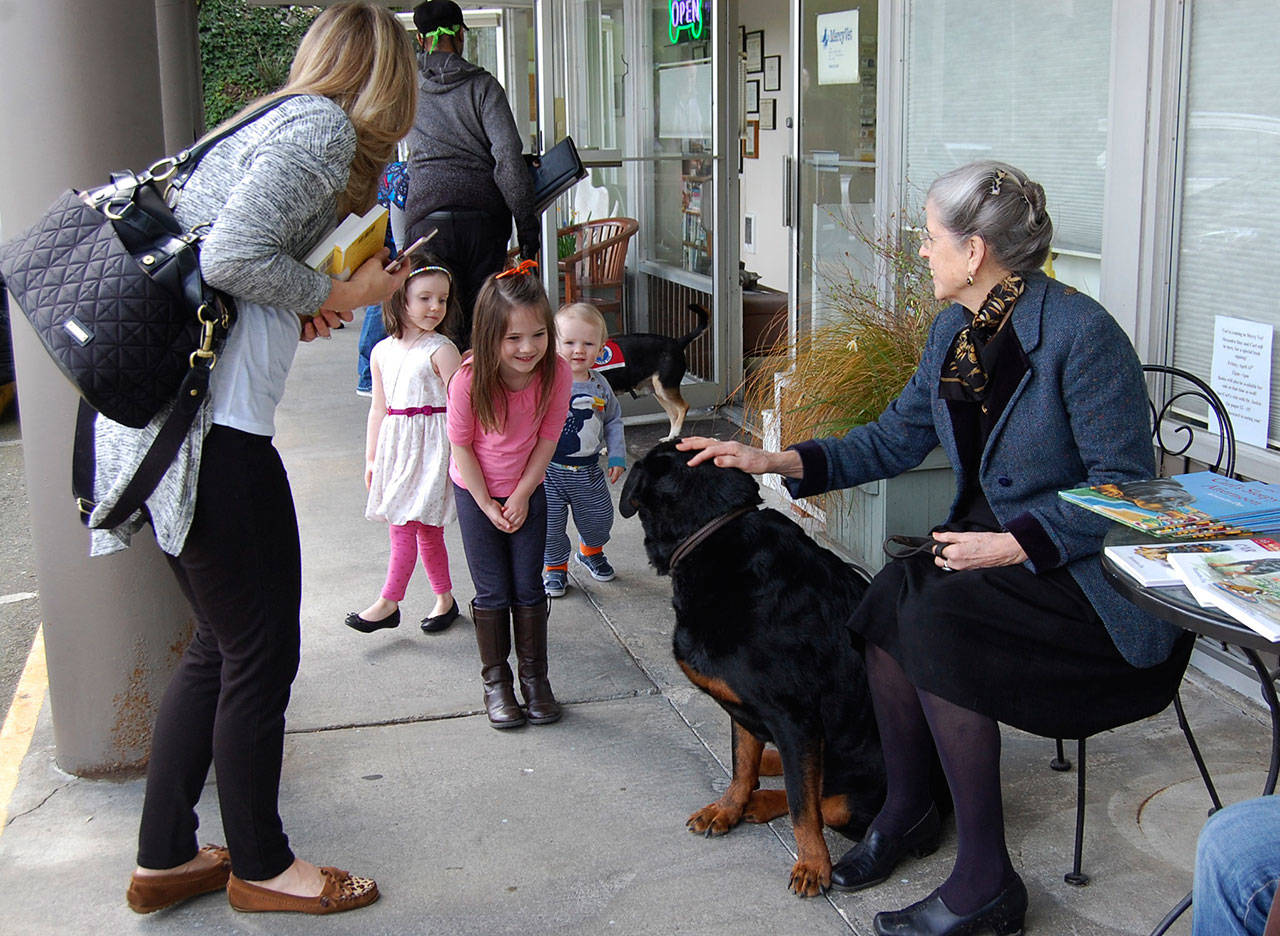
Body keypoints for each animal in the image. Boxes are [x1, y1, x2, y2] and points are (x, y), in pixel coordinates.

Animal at [591, 303, 711, 443]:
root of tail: (677, 342)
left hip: (664, 388)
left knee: (683, 407)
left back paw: (675, 432)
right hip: (658, 391)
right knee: (673, 414)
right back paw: (670, 437)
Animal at [619, 443, 890, 896]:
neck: (709, 534)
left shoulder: (795, 717)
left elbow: (803, 805)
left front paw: (813, 863)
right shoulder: (745, 705)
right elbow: (741, 762)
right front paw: (728, 807)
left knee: (829, 800)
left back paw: (768, 800)